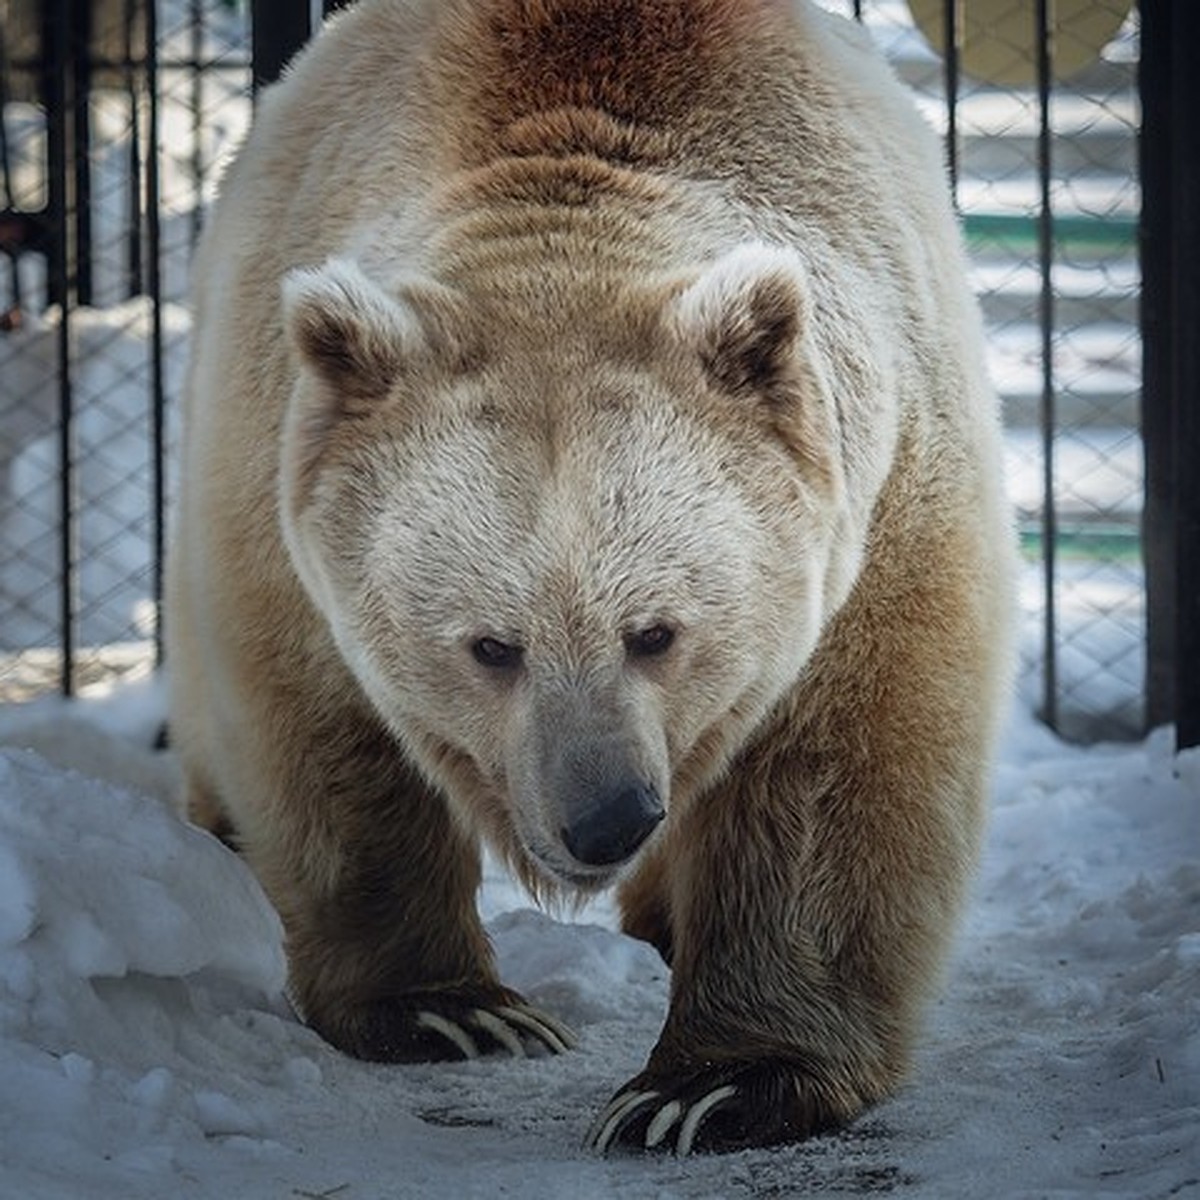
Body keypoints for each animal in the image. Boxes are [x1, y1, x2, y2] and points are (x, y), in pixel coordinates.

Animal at [166, 0, 1012, 1156]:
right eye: (491, 645)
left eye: (655, 630)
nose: (605, 818)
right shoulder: (279, 488)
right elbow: (325, 729)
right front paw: (453, 1010)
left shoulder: (879, 498)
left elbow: (834, 768)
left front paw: (712, 1085)